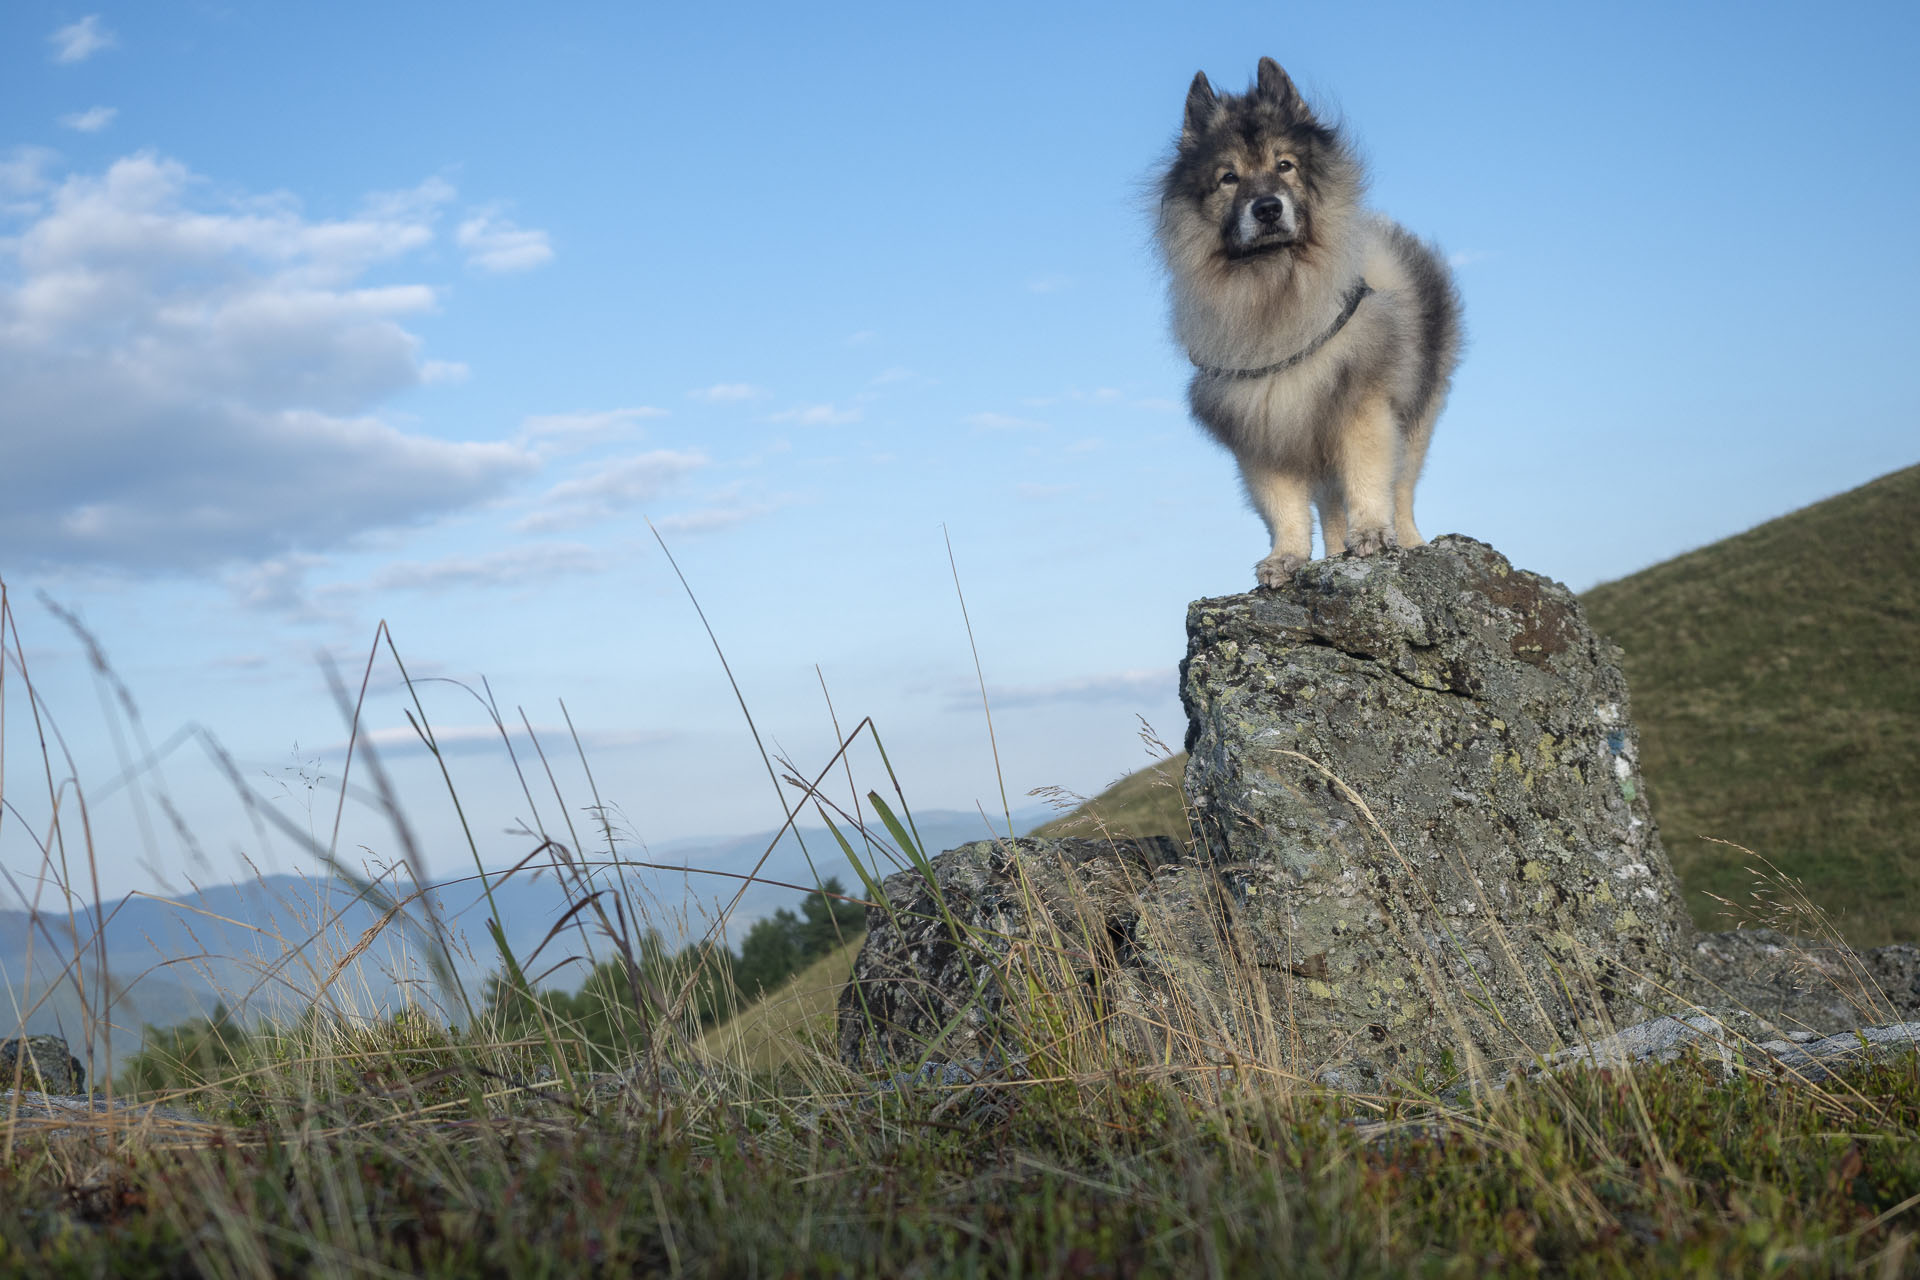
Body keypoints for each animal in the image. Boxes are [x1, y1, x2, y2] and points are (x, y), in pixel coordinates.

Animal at [1152, 55, 1466, 587]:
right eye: (1229, 177)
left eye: (1285, 165)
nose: (1268, 208)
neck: (1278, 287)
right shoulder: (1263, 426)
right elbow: (1284, 506)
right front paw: (1288, 557)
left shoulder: (1361, 407)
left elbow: (1369, 478)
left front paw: (1372, 533)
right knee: (1330, 506)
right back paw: (1337, 551)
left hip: (1418, 416)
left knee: (1402, 488)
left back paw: (1408, 541)